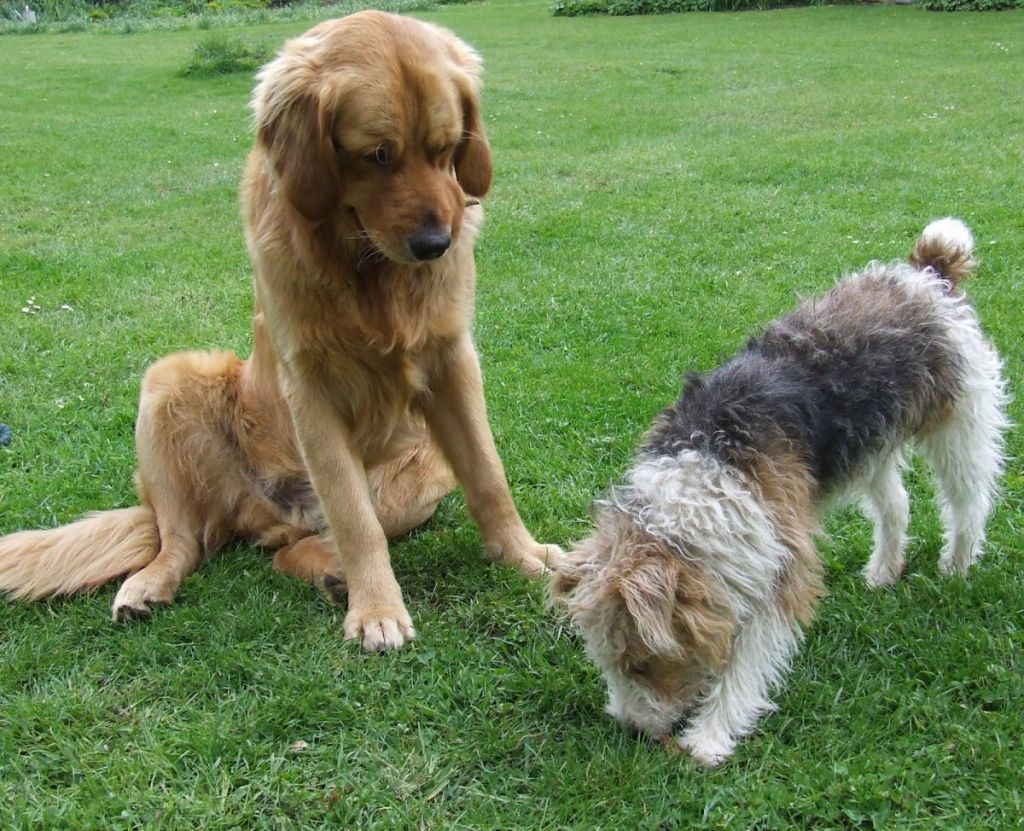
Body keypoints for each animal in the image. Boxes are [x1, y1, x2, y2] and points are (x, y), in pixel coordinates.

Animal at [0, 12, 560, 650]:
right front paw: (377, 609)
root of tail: (268, 515)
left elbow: (489, 477)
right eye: (377, 155)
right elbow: (353, 518)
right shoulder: (310, 386)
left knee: (291, 549)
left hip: (417, 480)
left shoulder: (452, 361)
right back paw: (150, 585)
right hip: (168, 381)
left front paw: (524, 555)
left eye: (447, 149)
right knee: (184, 539)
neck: (365, 269)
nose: (435, 245)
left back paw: (330, 573)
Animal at [551, 219, 1007, 767]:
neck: (711, 459)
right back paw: (883, 571)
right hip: (869, 447)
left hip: (960, 427)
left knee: (968, 503)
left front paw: (709, 739)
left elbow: (745, 665)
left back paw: (956, 566)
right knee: (897, 505)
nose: (632, 729)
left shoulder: (782, 566)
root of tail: (927, 273)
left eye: (641, 662)